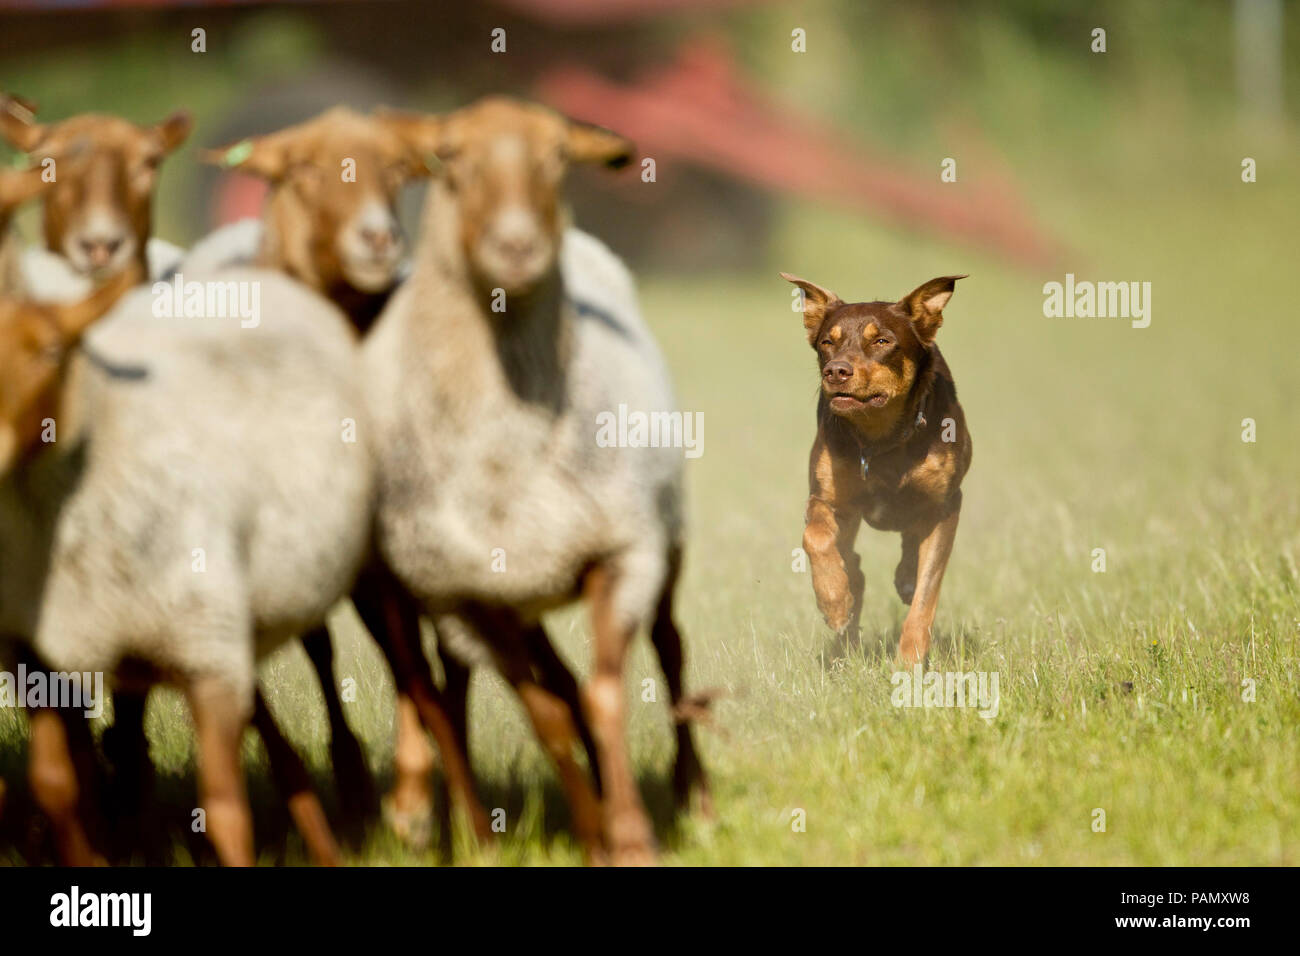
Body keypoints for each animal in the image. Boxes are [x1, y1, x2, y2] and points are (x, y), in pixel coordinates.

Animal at [367, 97, 713, 864]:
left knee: (671, 648)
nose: (518, 247)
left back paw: (695, 794)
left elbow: (608, 698)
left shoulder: (622, 552)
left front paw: (633, 838)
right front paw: (593, 835)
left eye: (557, 157)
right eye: (449, 158)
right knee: (542, 684)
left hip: (666, 535)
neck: (508, 451)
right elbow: (549, 717)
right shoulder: (468, 600)